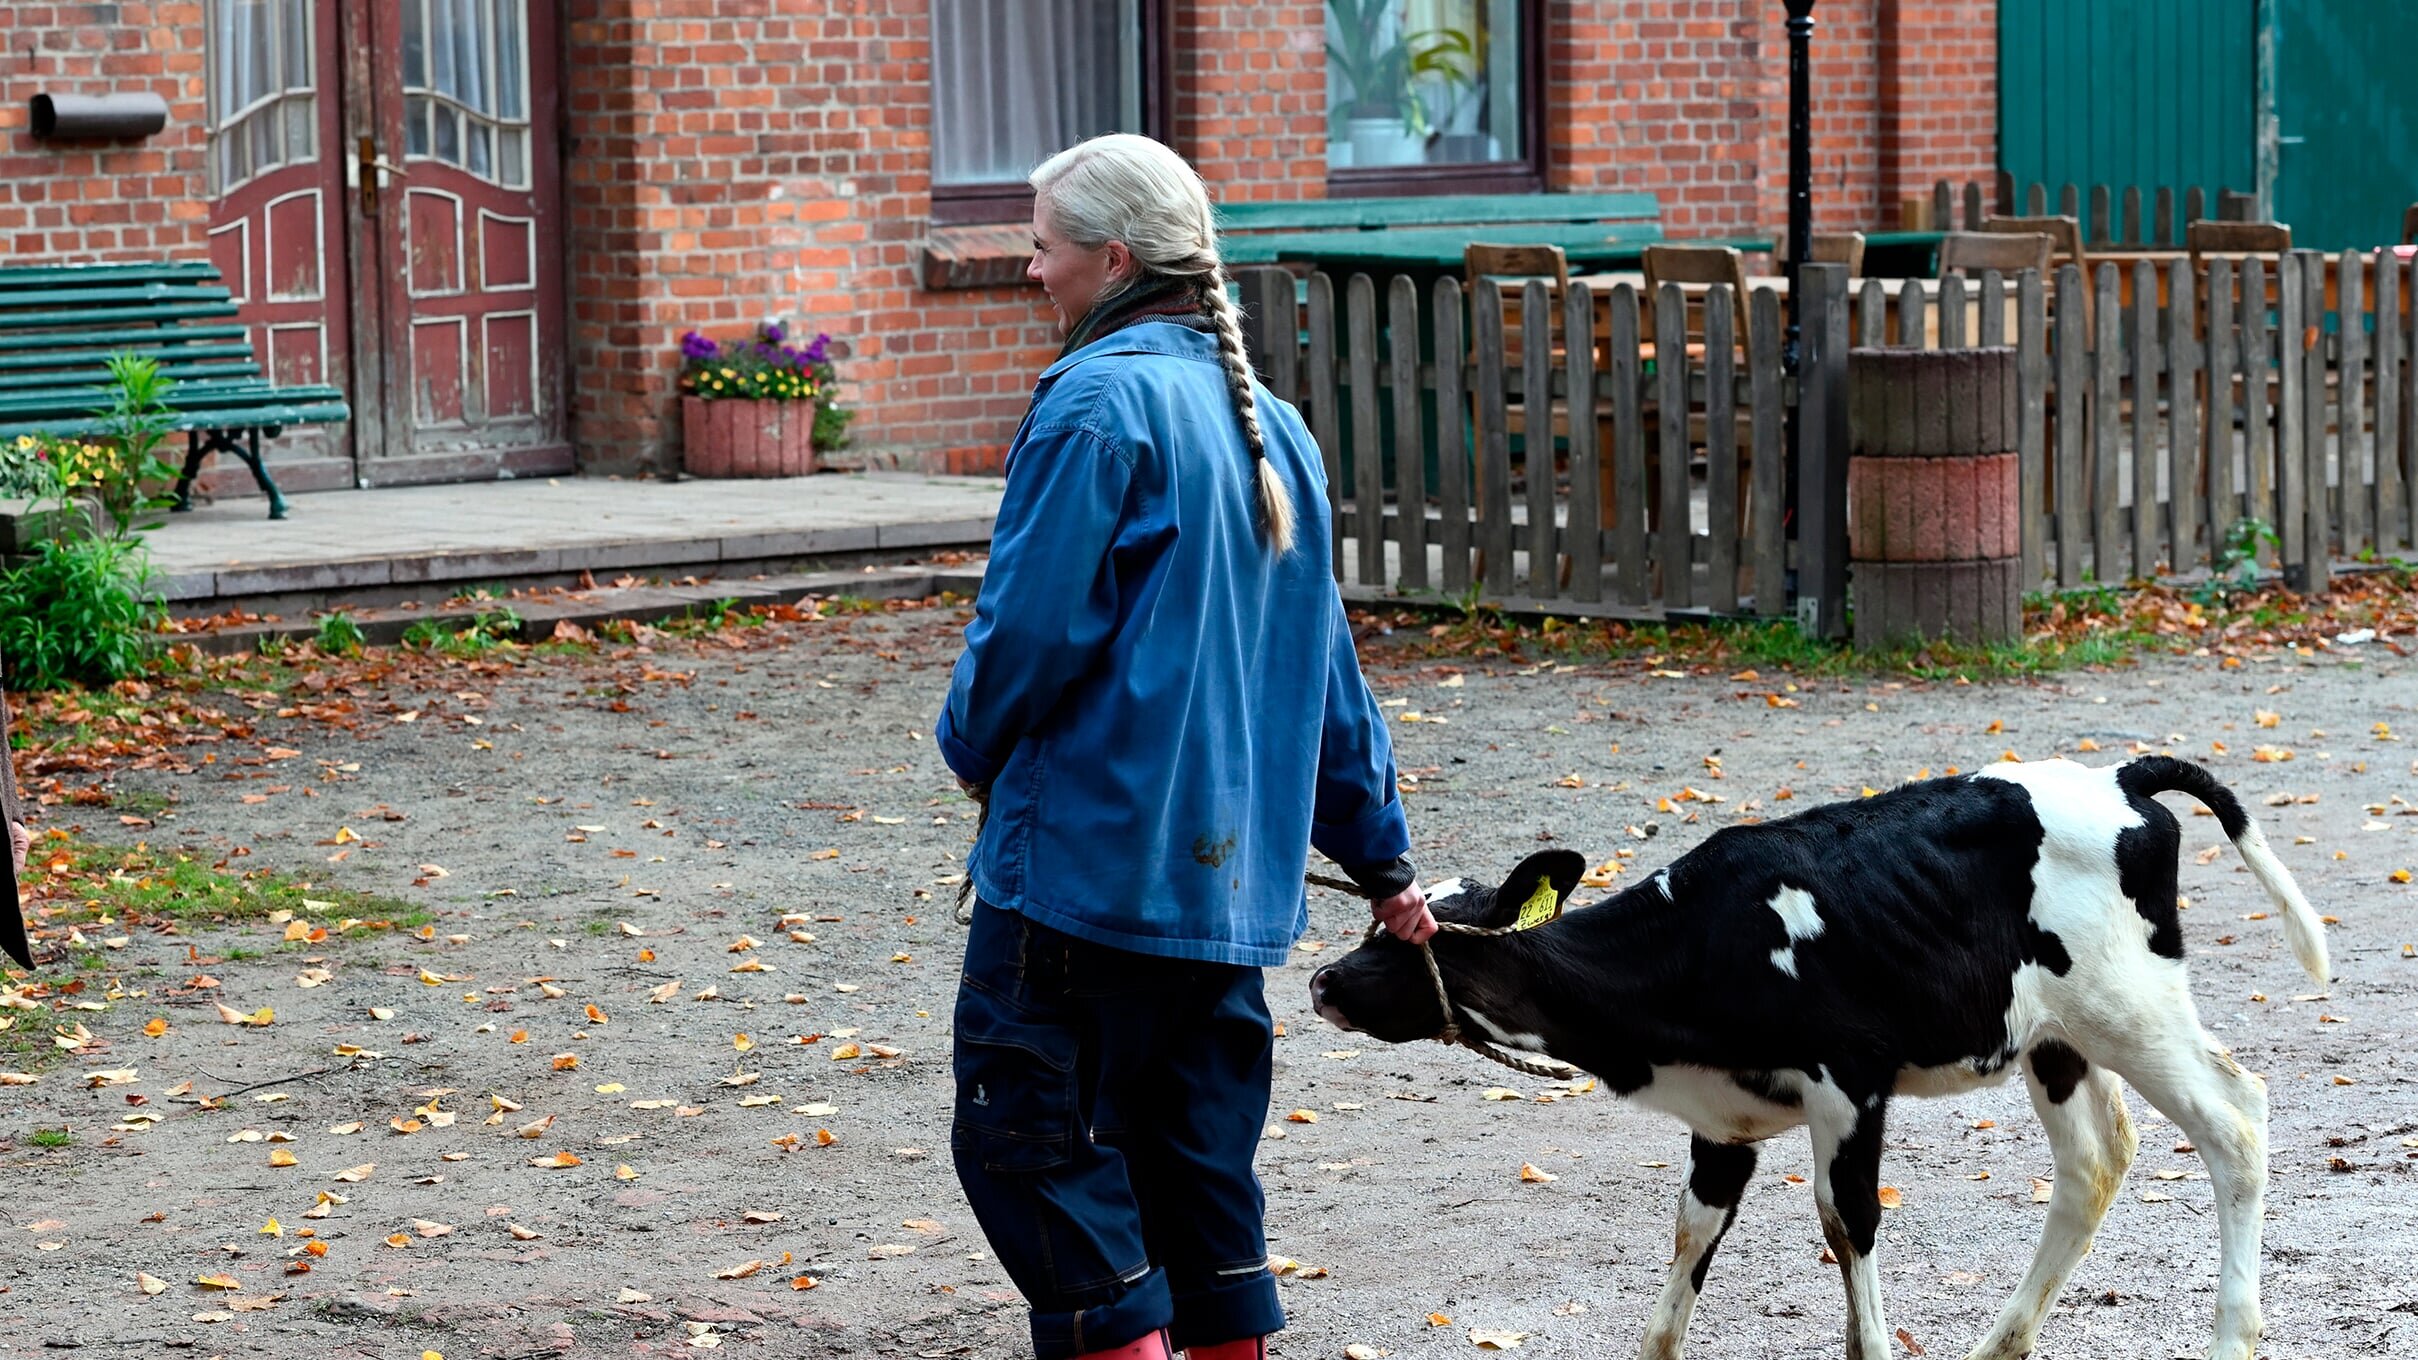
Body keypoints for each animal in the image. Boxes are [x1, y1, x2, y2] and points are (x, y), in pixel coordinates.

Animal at [1315, 750, 2330, 1355]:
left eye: (1414, 940)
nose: (1323, 981)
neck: (1696, 945)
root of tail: (2123, 777)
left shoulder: (1851, 1084)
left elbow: (1849, 1224)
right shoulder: (1722, 1122)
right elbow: (1690, 1237)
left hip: (2134, 1008)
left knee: (2236, 1120)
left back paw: (2231, 1333)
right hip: (2056, 1038)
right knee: (2095, 1162)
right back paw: (2000, 1342)